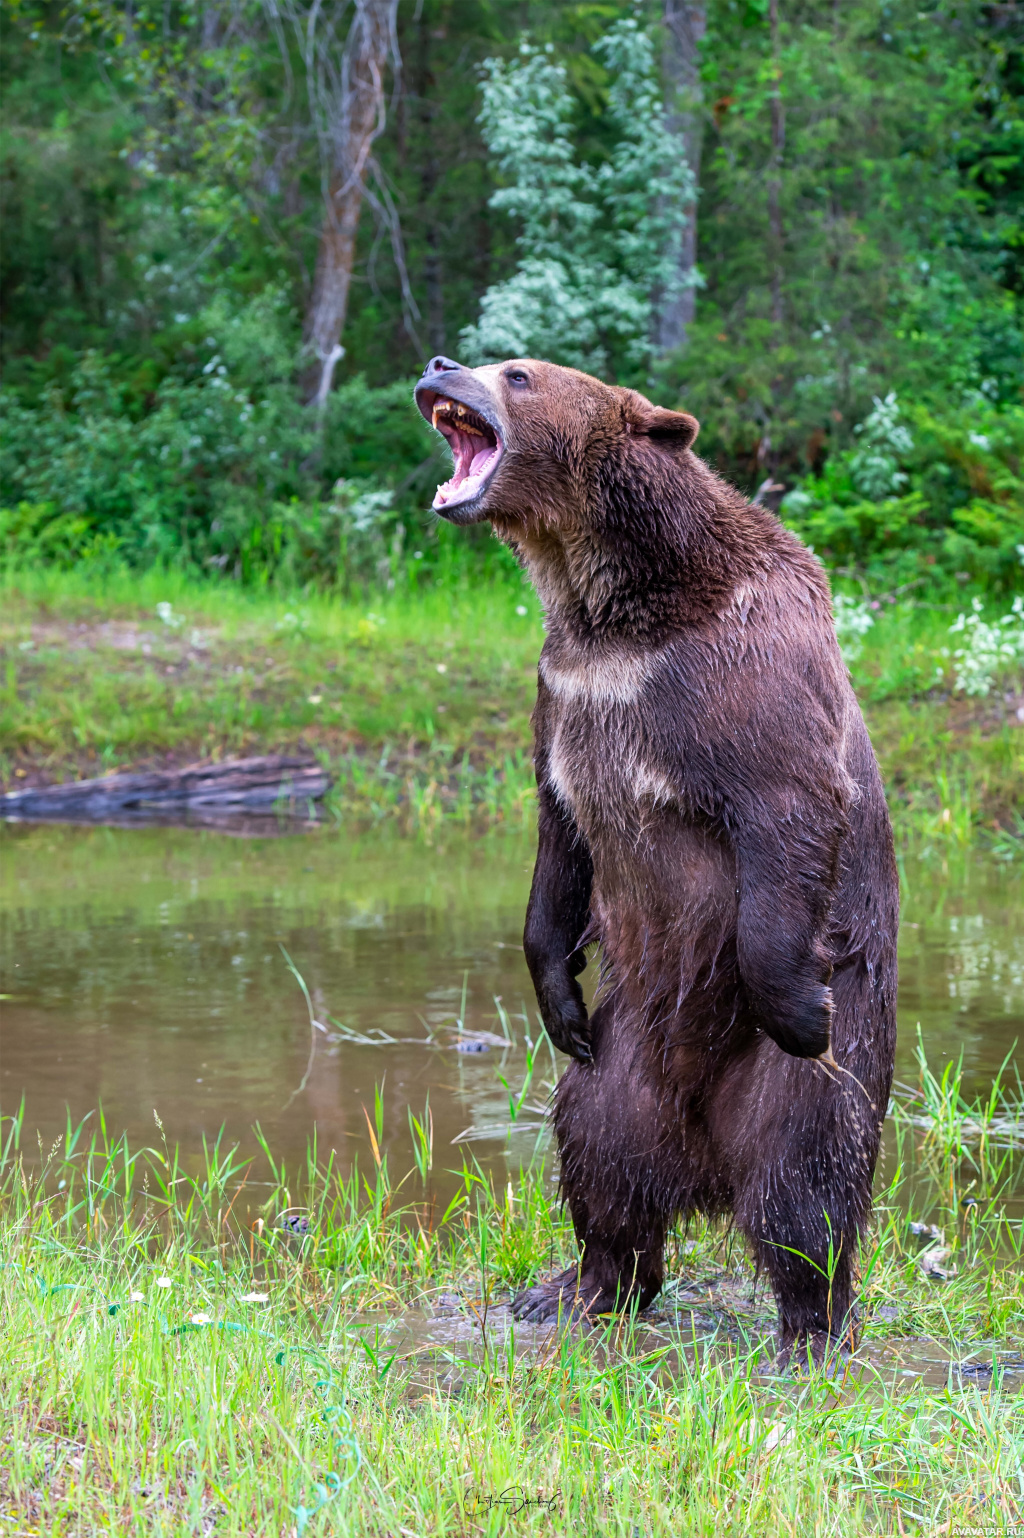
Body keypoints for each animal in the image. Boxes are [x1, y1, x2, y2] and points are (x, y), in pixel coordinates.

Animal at [415, 353, 891, 1365]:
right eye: (489, 358)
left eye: (518, 373)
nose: (441, 364)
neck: (620, 610)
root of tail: (706, 1167)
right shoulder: (566, 699)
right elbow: (560, 852)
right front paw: (555, 995)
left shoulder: (745, 684)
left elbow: (791, 815)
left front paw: (804, 1009)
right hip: (626, 1058)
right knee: (602, 1161)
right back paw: (577, 1289)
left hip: (795, 1081)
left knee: (804, 1182)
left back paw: (809, 1329)